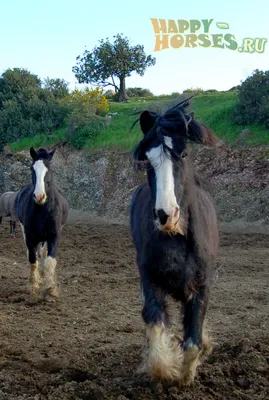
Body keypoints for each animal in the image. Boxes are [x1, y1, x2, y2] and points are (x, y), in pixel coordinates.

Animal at [16, 147, 68, 300]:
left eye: (49, 169)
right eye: (32, 169)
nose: (39, 196)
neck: (43, 209)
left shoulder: (54, 236)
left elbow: (49, 261)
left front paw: (50, 290)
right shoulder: (30, 236)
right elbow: (32, 259)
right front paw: (34, 287)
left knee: (44, 254)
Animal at [130, 98, 218, 386]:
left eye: (185, 153)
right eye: (148, 159)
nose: (166, 214)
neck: (176, 238)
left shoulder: (201, 286)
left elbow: (193, 342)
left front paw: (185, 375)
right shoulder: (150, 279)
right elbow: (155, 326)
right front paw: (166, 369)